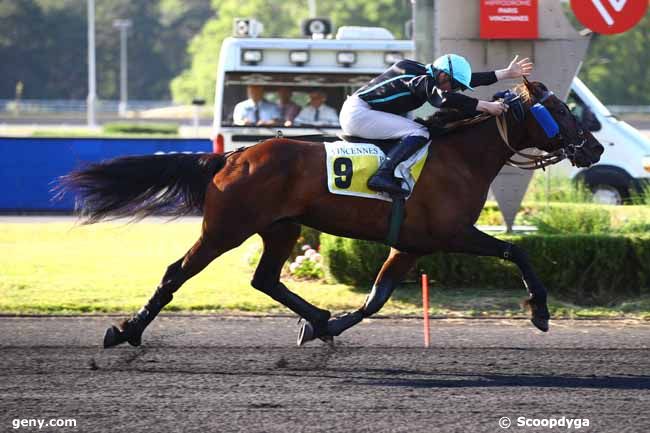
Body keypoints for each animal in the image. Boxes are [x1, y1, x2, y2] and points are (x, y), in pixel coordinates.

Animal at [59, 78, 604, 348]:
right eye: (561, 109)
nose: (595, 147)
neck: (459, 157)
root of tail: (232, 155)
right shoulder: (452, 233)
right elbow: (516, 251)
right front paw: (539, 312)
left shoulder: (411, 244)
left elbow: (376, 299)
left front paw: (328, 326)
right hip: (226, 229)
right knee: (177, 272)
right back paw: (125, 332)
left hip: (281, 229)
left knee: (265, 279)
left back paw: (316, 317)